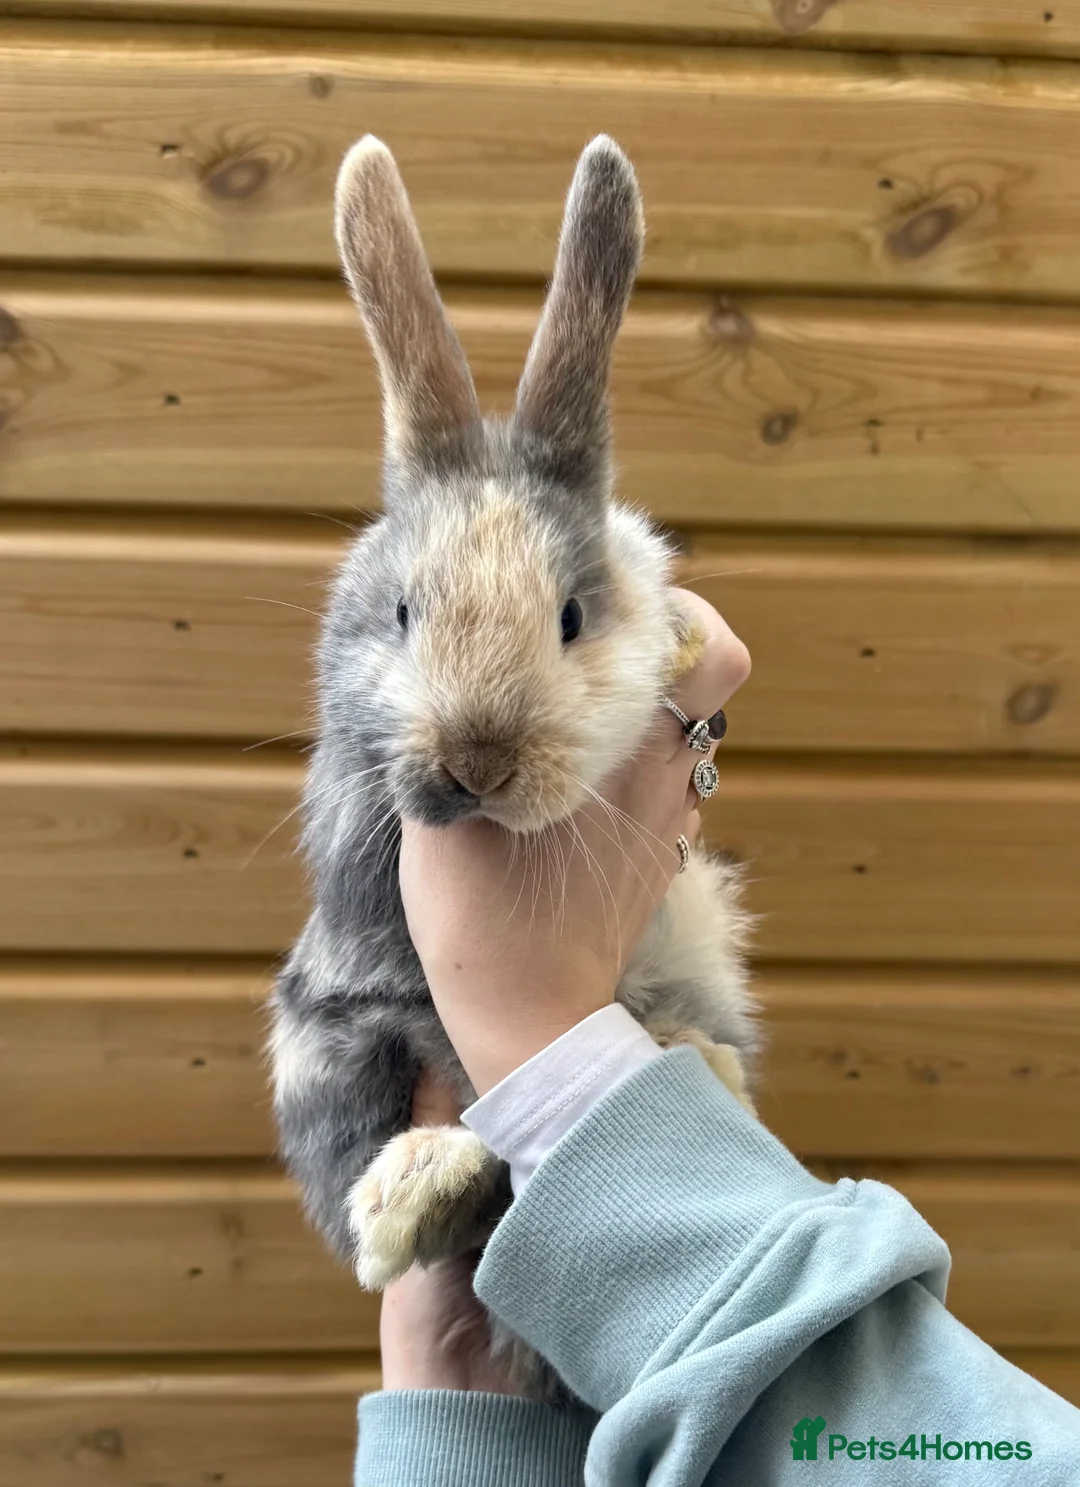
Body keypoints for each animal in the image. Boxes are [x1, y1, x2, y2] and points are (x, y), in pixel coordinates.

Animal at [267, 133, 759, 1401]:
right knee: (417, 1203)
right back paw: (416, 1186)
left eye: (573, 616)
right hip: (326, 1044)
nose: (475, 761)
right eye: (402, 612)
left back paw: (695, 1065)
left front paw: (675, 644)